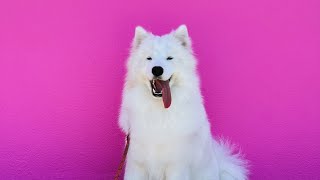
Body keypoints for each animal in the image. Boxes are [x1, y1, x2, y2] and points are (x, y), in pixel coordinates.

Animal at [119, 24, 249, 180]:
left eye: (169, 58)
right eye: (149, 58)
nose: (157, 69)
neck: (159, 110)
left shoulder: (176, 165)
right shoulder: (137, 163)